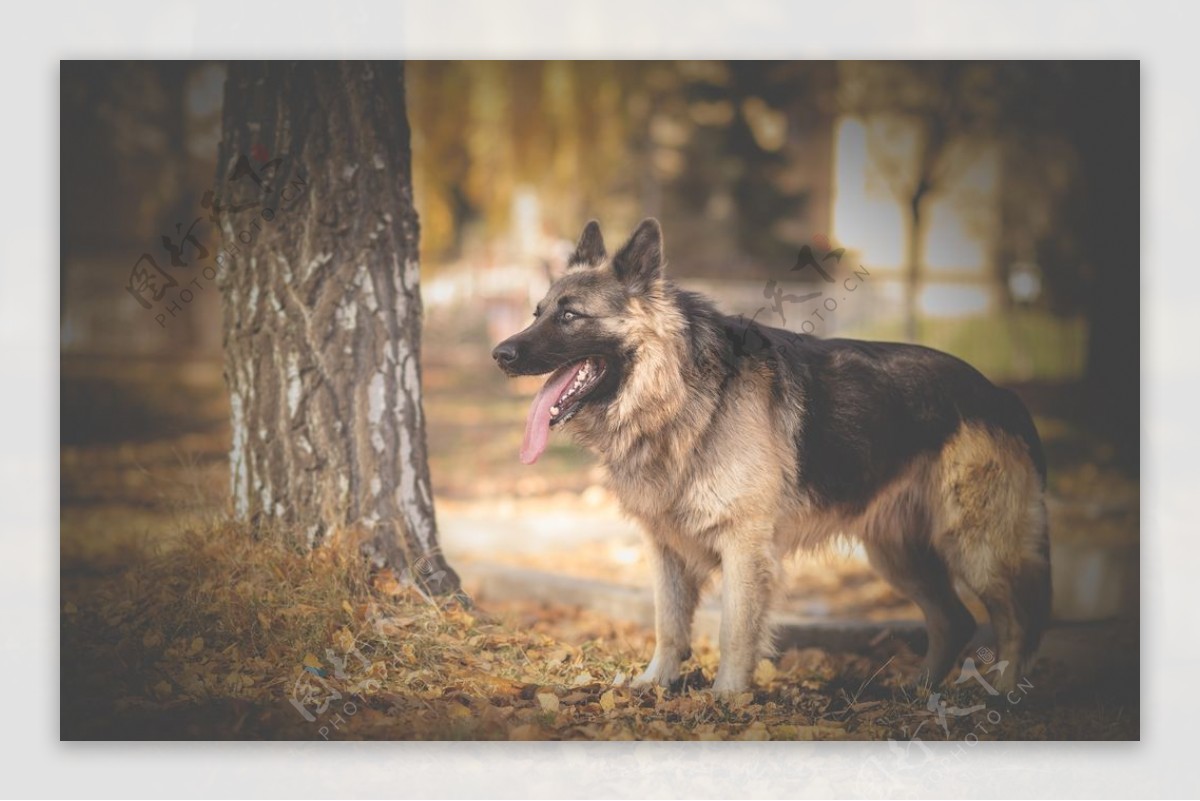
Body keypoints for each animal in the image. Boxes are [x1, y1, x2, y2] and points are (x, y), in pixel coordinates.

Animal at [487, 219, 1051, 695]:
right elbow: (668, 625)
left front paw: (726, 698)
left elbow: (735, 629)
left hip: (976, 548)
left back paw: (1002, 695)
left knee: (1018, 619)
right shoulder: (666, 548)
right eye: (537, 313)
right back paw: (919, 694)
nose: (501, 354)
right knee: (955, 620)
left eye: (570, 316)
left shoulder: (745, 546)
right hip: (898, 555)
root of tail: (999, 392)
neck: (680, 396)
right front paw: (656, 684)